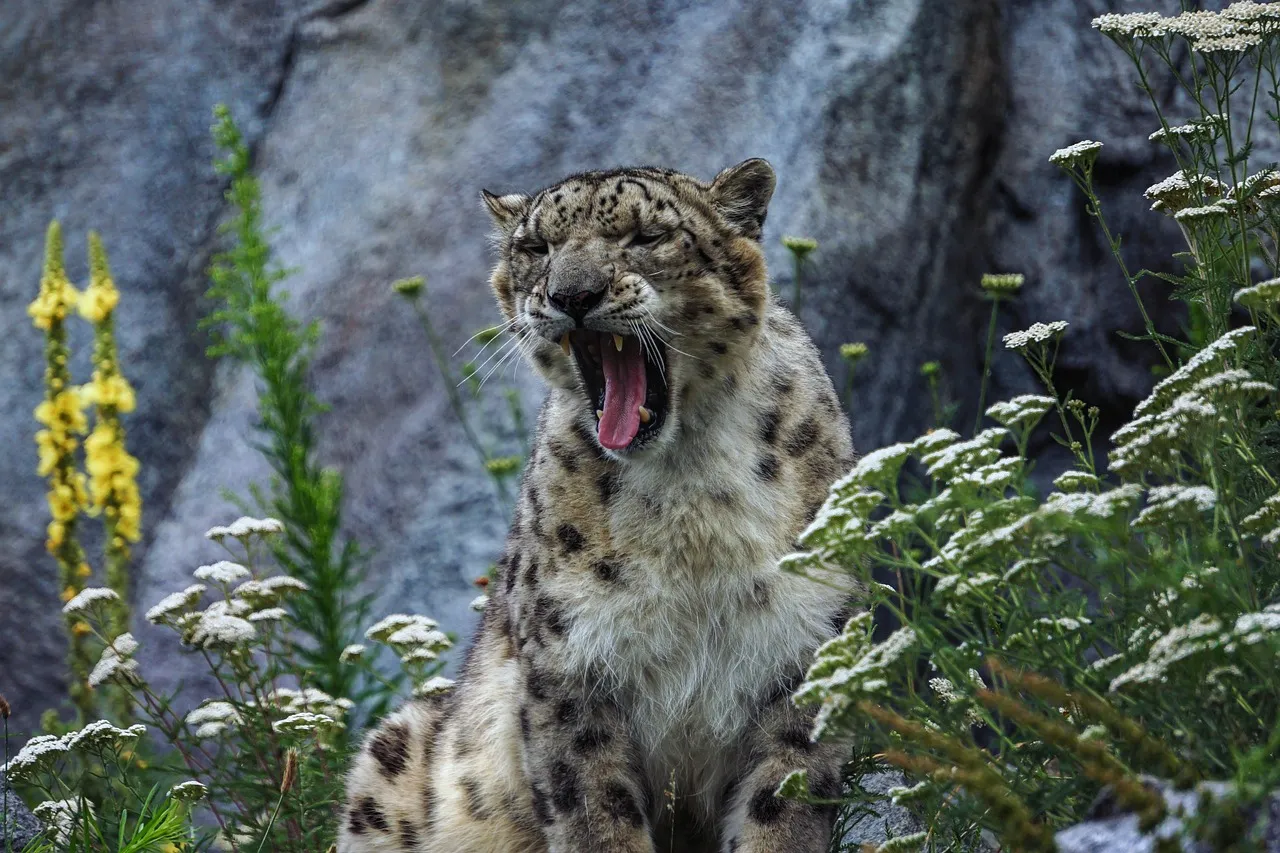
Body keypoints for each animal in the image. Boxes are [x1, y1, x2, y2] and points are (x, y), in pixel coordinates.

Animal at [338, 159, 860, 853]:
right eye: (537, 248)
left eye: (645, 236)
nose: (572, 295)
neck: (688, 488)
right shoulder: (570, 668)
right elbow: (595, 814)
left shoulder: (804, 651)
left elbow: (783, 810)